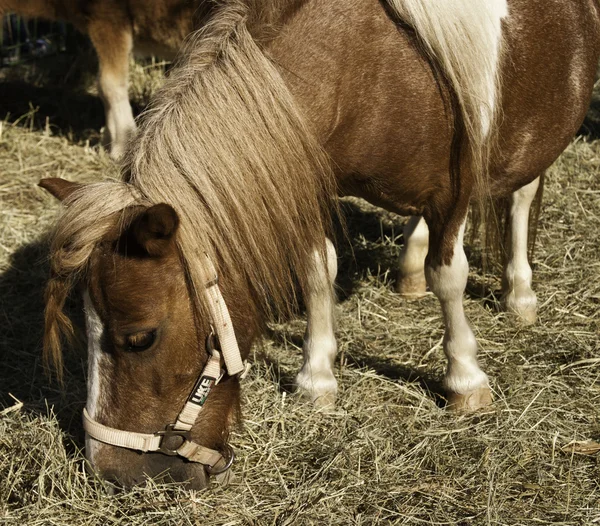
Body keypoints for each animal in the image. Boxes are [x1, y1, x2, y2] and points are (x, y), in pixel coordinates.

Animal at [38, 0, 600, 490]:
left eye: (141, 338)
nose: (111, 472)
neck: (370, 67)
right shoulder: (304, 177)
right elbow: (315, 272)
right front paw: (317, 380)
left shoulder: (454, 190)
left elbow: (450, 277)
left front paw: (465, 379)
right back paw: (410, 268)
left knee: (522, 194)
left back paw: (519, 293)